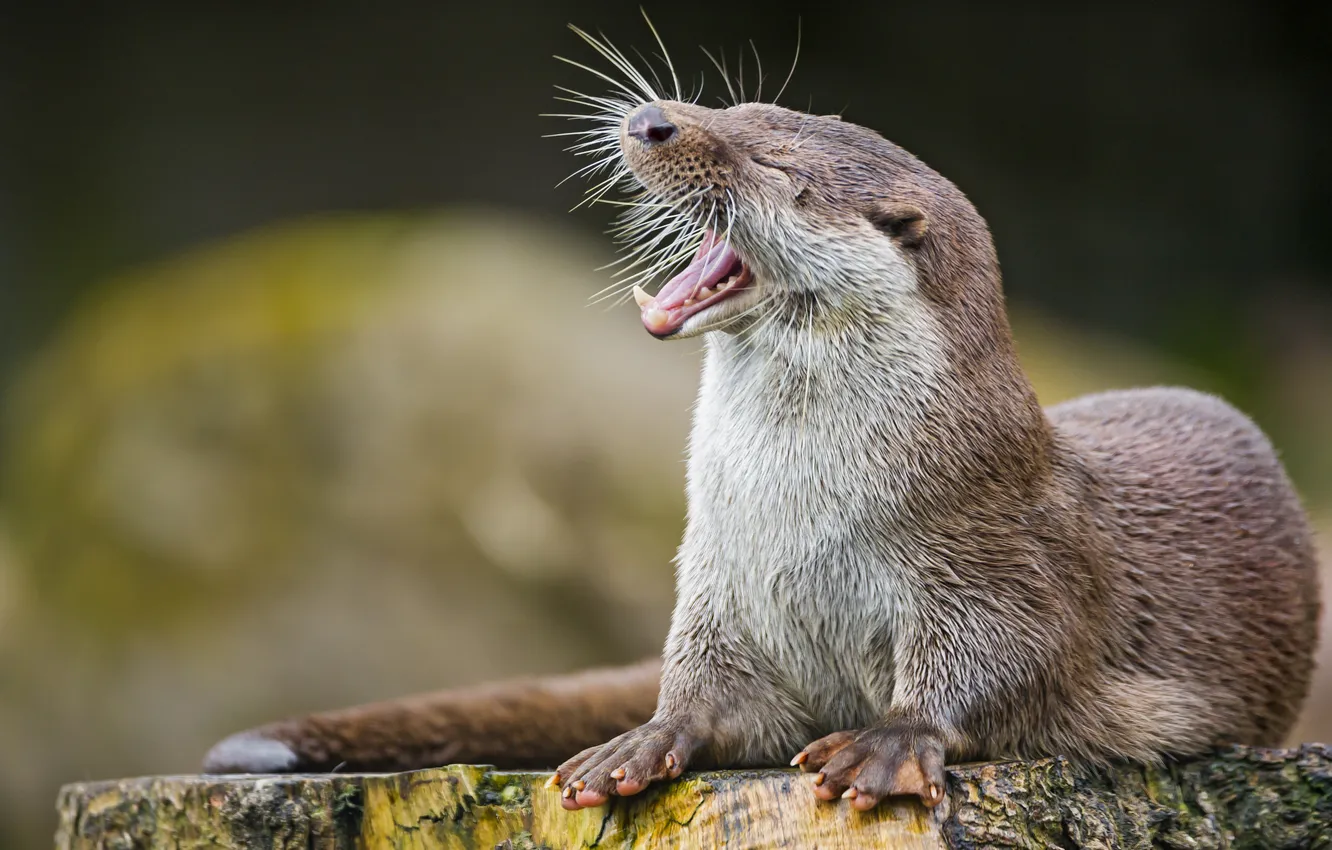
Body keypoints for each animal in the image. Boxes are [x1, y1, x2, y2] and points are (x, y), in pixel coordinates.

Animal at [204, 32, 1321, 814]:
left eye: (777, 167)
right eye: (735, 106)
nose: (654, 118)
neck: (798, 515)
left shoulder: (997, 552)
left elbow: (1003, 662)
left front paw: (886, 741)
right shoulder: (718, 581)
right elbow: (704, 688)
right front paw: (645, 739)